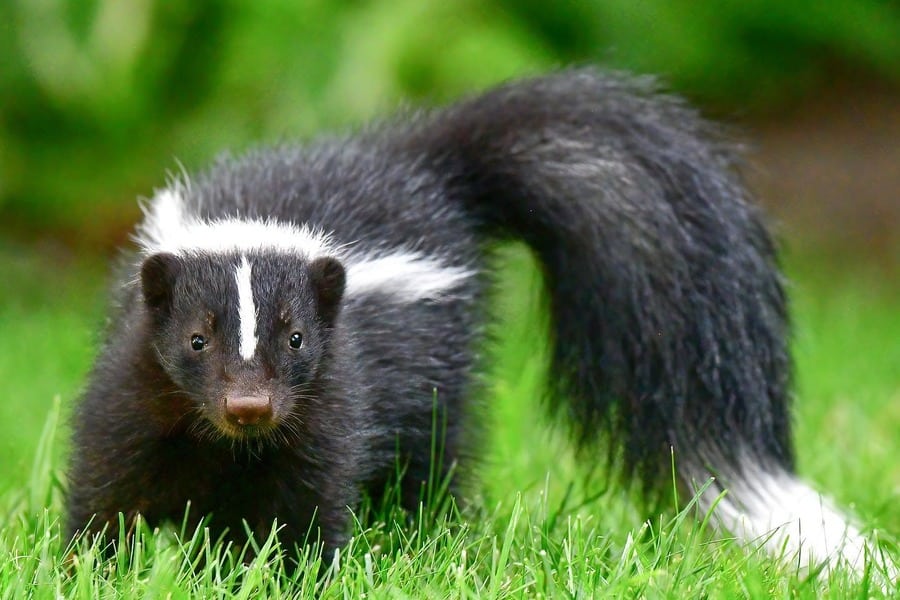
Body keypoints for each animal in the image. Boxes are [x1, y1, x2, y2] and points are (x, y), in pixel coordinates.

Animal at [67, 69, 876, 572]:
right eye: (196, 339)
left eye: (296, 337)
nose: (249, 406)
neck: (227, 444)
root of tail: (430, 164)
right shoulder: (139, 387)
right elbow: (110, 489)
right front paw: (92, 567)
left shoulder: (332, 395)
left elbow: (306, 510)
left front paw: (292, 573)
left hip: (440, 366)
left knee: (431, 460)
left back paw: (425, 535)